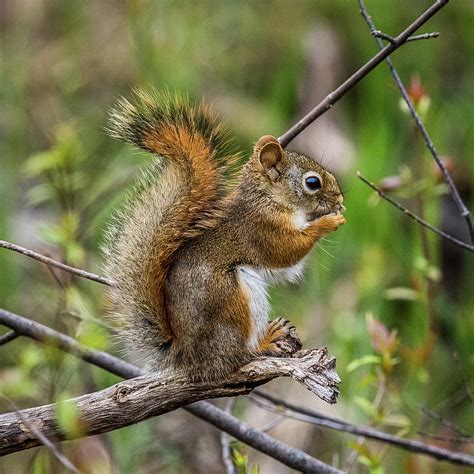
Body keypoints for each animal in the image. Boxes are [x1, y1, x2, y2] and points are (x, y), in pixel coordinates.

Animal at [104, 90, 344, 382]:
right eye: (312, 183)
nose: (340, 198)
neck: (267, 198)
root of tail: (188, 356)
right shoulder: (260, 228)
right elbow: (285, 251)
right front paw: (330, 221)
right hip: (230, 298)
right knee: (237, 357)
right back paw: (265, 341)